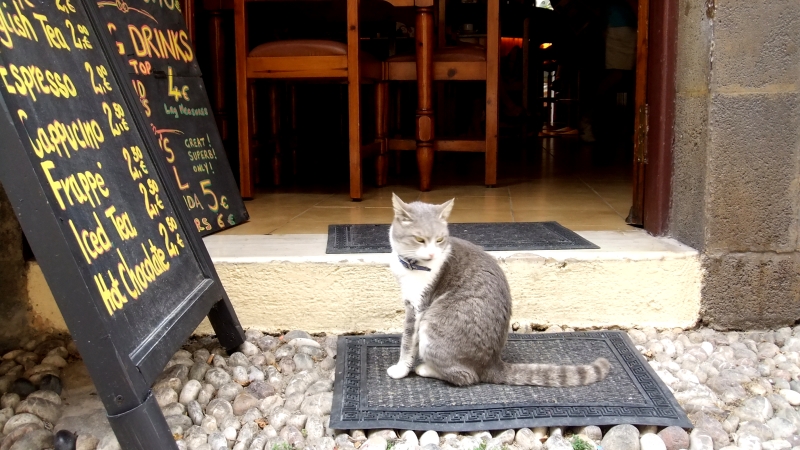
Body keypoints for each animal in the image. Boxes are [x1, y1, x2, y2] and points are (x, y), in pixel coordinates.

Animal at [384, 193, 608, 386]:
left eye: (439, 240)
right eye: (420, 239)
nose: (431, 254)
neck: (411, 265)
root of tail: (491, 364)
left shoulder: (417, 307)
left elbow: (407, 342)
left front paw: (400, 370)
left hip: (433, 325)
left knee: (466, 376)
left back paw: (426, 368)